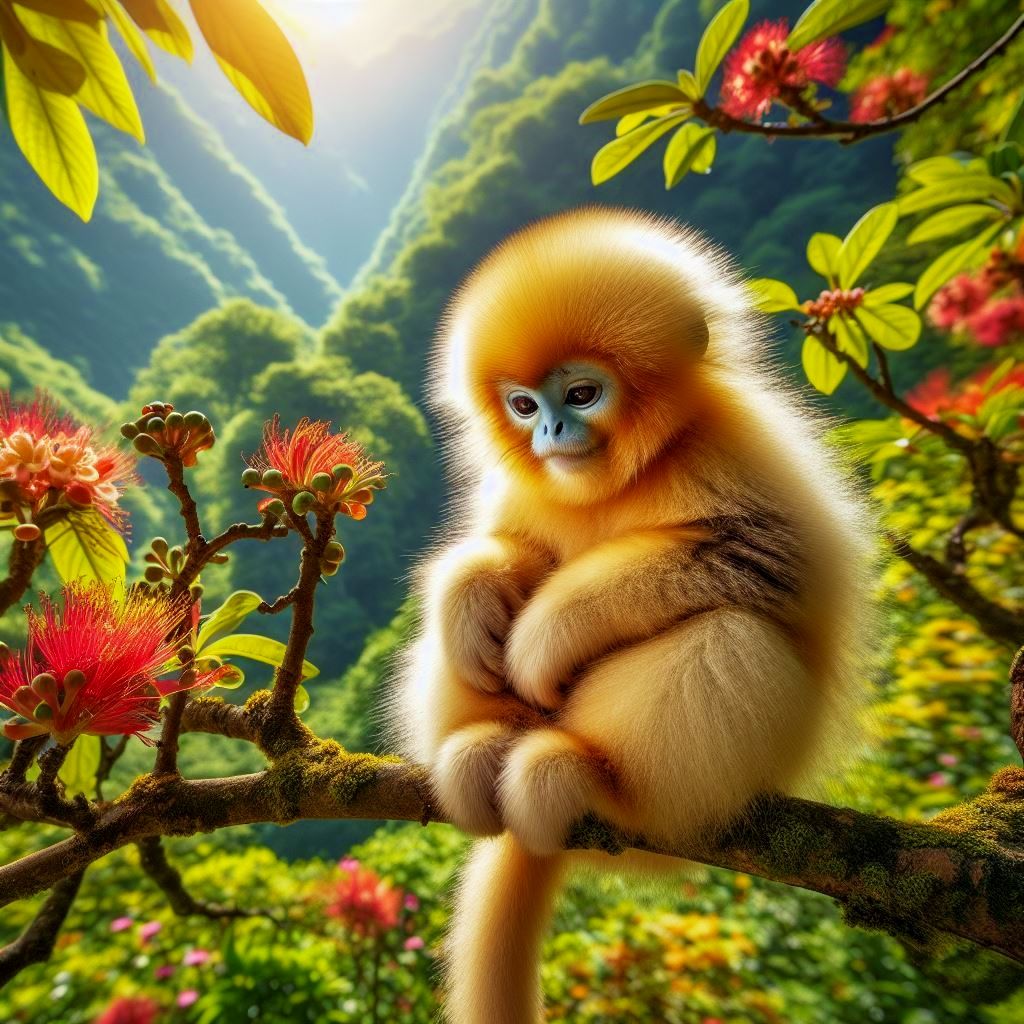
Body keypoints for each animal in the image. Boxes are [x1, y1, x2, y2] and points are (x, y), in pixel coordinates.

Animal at [388, 206, 871, 1024]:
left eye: (582, 394)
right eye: (524, 405)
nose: (549, 434)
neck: (626, 474)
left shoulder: (733, 446)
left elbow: (761, 562)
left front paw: (544, 639)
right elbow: (510, 552)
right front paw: (472, 593)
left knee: (730, 634)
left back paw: (588, 780)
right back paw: (484, 746)